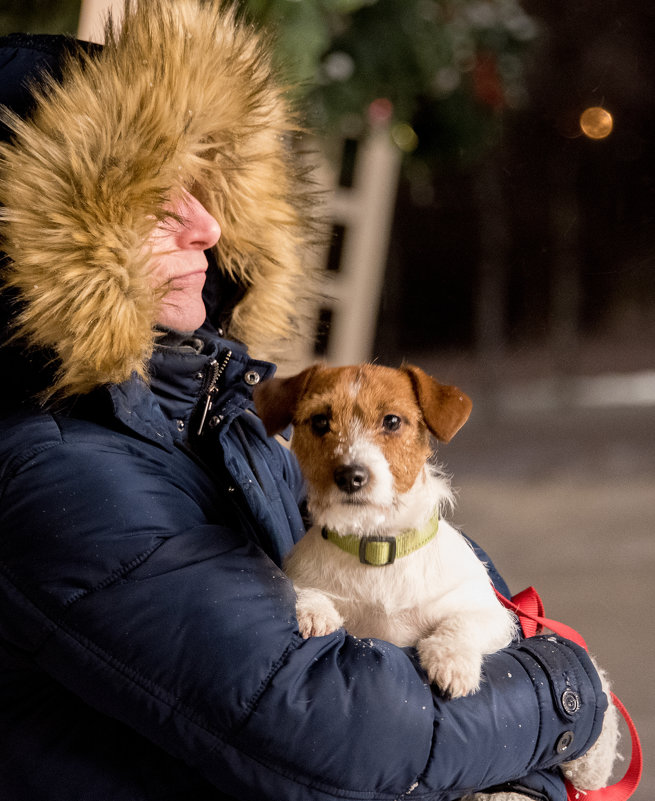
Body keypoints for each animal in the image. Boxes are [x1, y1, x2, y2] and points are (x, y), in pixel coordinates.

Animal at [251, 366, 620, 796]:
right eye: (320, 422)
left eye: (392, 421)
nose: (351, 476)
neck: (377, 548)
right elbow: (305, 588)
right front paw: (314, 610)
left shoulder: (494, 616)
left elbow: (461, 623)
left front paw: (451, 660)